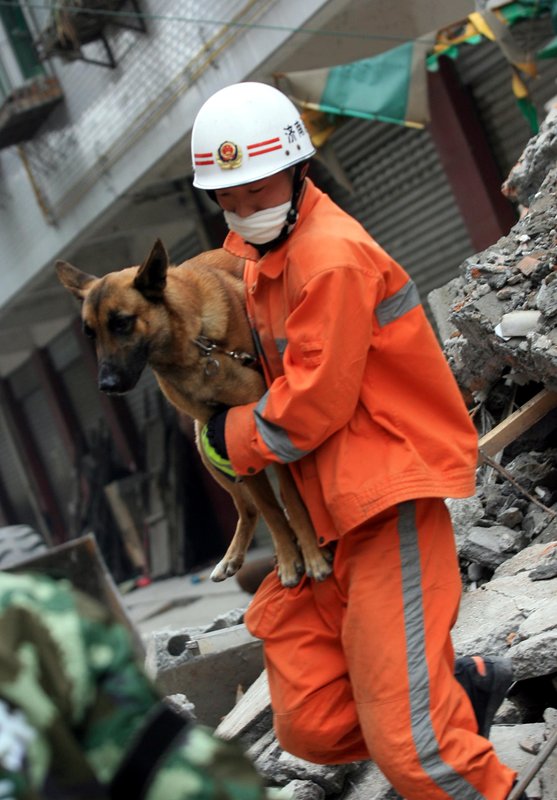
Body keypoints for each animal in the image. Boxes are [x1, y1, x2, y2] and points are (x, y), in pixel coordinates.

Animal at [57, 239, 330, 588]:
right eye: (90, 333)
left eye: (122, 323)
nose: (106, 385)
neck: (194, 347)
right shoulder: (228, 433)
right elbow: (269, 508)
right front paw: (287, 557)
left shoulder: (256, 428)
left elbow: (291, 500)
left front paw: (311, 555)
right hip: (204, 443)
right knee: (248, 508)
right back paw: (233, 557)